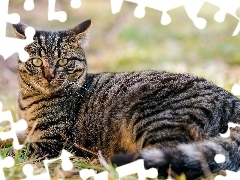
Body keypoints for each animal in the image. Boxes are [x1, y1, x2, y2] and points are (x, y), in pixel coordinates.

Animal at [12, 20, 240, 179]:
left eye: (63, 61)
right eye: (36, 61)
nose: (49, 75)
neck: (28, 101)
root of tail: (233, 100)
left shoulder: (52, 142)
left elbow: (16, 151)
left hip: (154, 121)